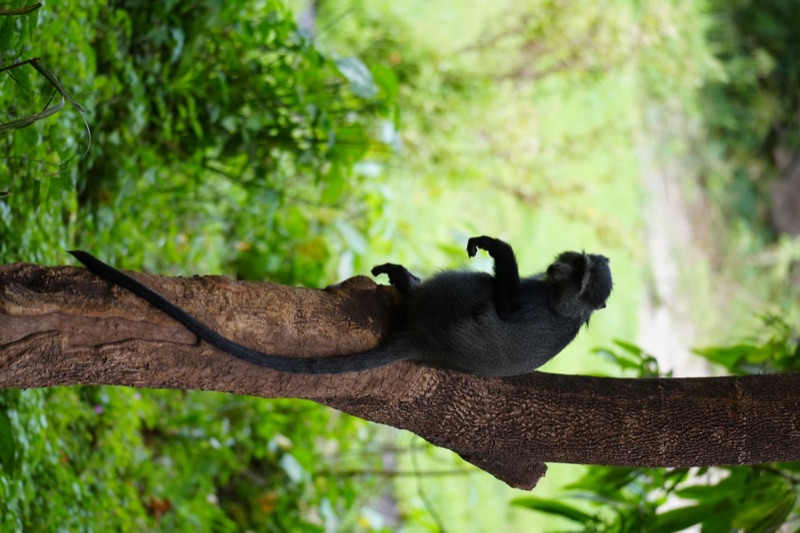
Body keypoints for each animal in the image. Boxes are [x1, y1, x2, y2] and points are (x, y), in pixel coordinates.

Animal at [68, 235, 612, 377]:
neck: (568, 307)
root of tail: (425, 343)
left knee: (475, 288)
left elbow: (506, 301)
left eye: (579, 271)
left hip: (447, 304)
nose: (566, 260)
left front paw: (495, 246)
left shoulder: (536, 305)